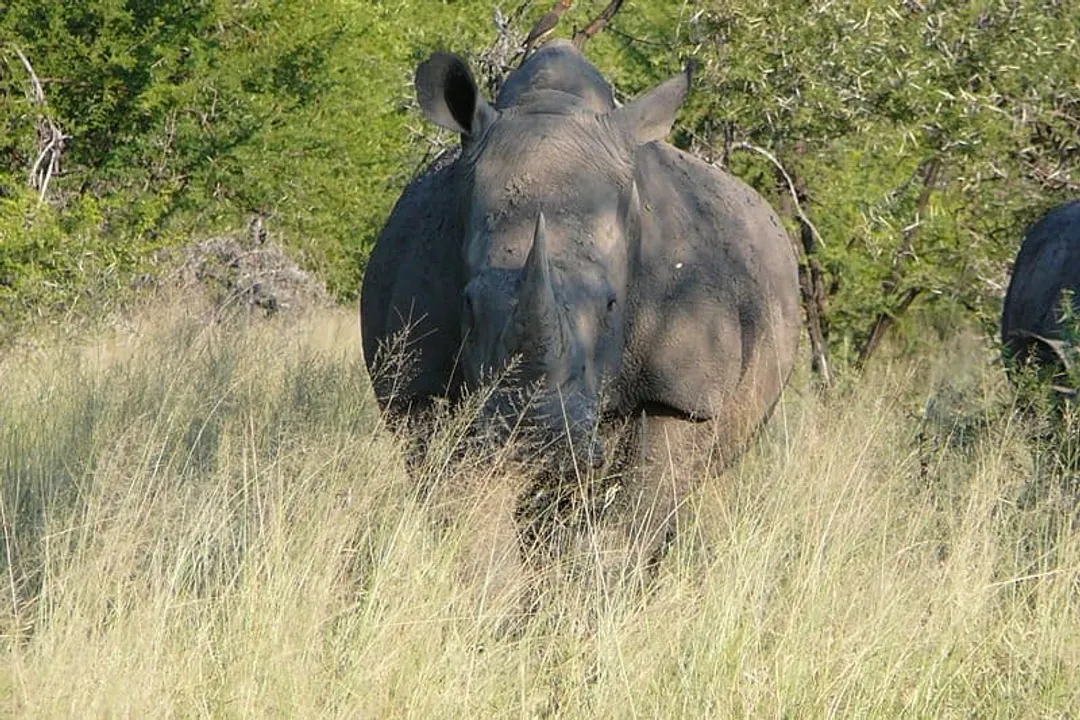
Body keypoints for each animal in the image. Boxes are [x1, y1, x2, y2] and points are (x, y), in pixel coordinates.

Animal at [360, 41, 801, 574]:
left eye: (612, 304)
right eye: (469, 304)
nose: (538, 439)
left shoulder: (684, 393)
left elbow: (634, 515)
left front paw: (596, 589)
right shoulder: (416, 387)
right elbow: (462, 514)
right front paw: (493, 589)